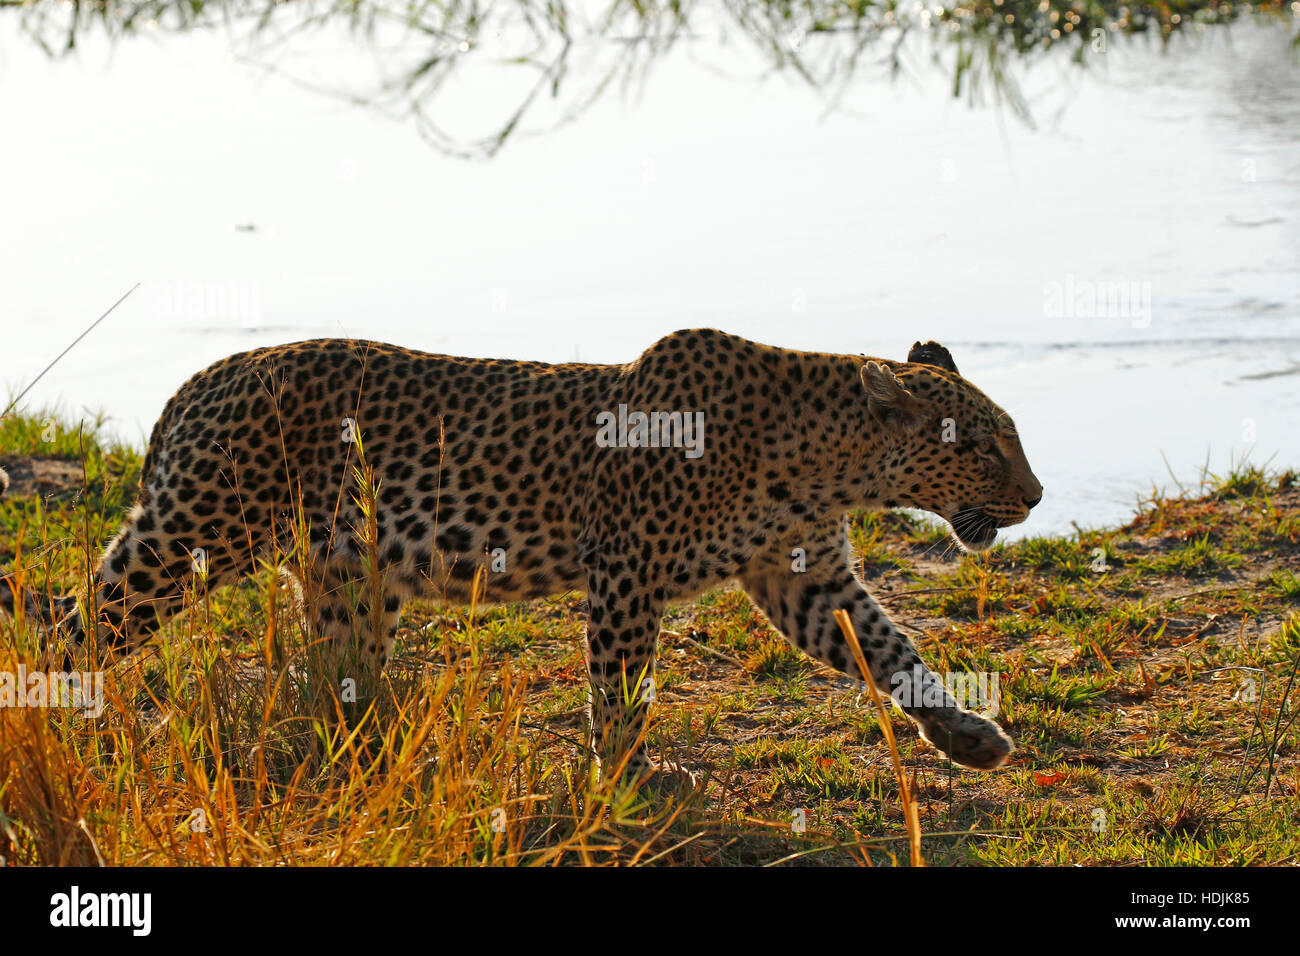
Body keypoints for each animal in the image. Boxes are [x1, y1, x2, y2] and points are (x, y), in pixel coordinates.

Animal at [0, 332, 1040, 780]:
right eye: (986, 444)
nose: (1034, 497)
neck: (828, 464)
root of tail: (202, 378)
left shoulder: (806, 578)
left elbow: (896, 653)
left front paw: (968, 736)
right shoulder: (627, 571)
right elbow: (621, 689)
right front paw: (627, 777)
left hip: (348, 580)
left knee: (334, 681)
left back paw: (375, 754)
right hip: (190, 536)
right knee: (71, 624)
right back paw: (45, 723)